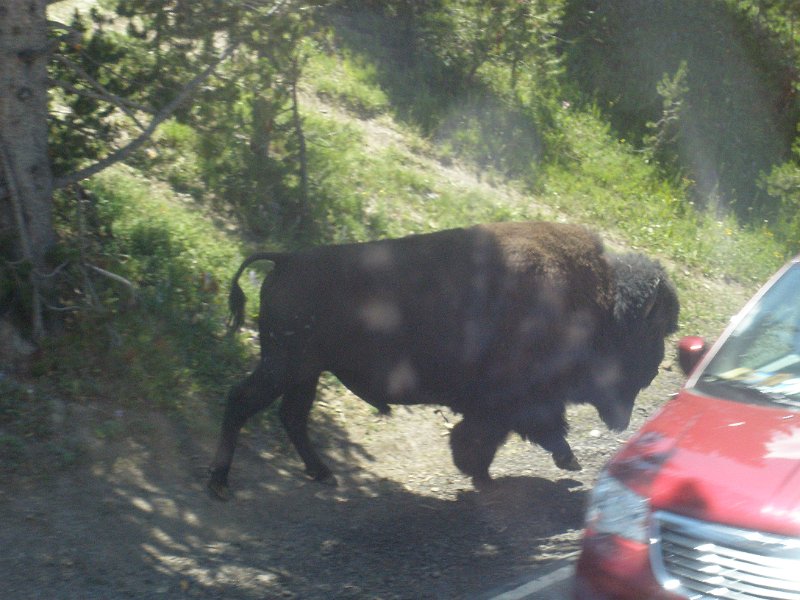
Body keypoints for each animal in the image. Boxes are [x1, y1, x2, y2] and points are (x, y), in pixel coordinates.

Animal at [209, 221, 679, 498]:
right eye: (649, 332)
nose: (656, 368)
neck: (594, 303)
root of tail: (286, 259)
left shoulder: (504, 404)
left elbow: (496, 432)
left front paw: (483, 474)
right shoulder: (515, 398)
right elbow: (514, 429)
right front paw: (560, 462)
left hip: (305, 371)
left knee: (292, 415)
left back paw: (323, 473)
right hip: (285, 365)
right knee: (241, 400)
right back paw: (219, 483)